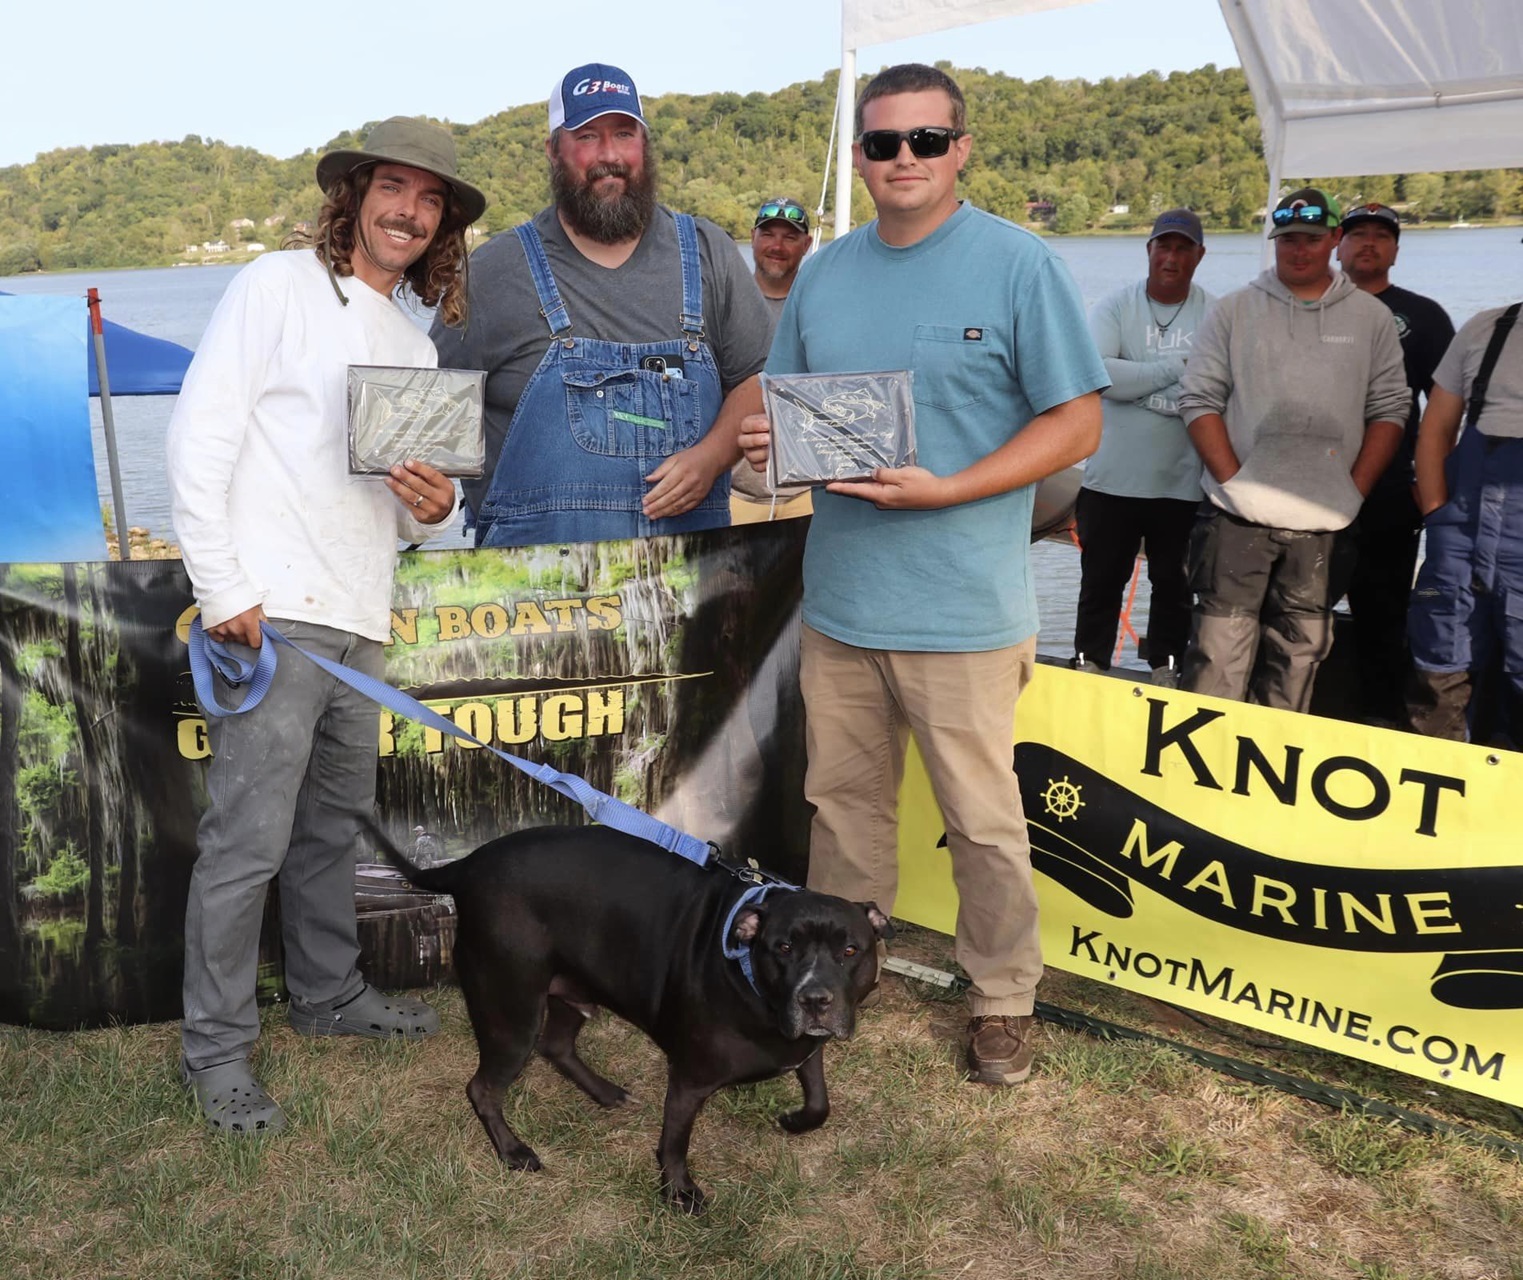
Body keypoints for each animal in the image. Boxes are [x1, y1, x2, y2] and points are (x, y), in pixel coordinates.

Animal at [373, 822, 889, 1206]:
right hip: (512, 1012)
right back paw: (514, 1151)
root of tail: (467, 866)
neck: (750, 979)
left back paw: (605, 1093)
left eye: (850, 950)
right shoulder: (689, 1079)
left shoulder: (807, 1046)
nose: (816, 998)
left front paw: (795, 1122)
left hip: (571, 991)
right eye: (783, 948)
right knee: (483, 1087)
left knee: (556, 1046)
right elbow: (675, 1142)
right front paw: (679, 1192)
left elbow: (820, 1102)